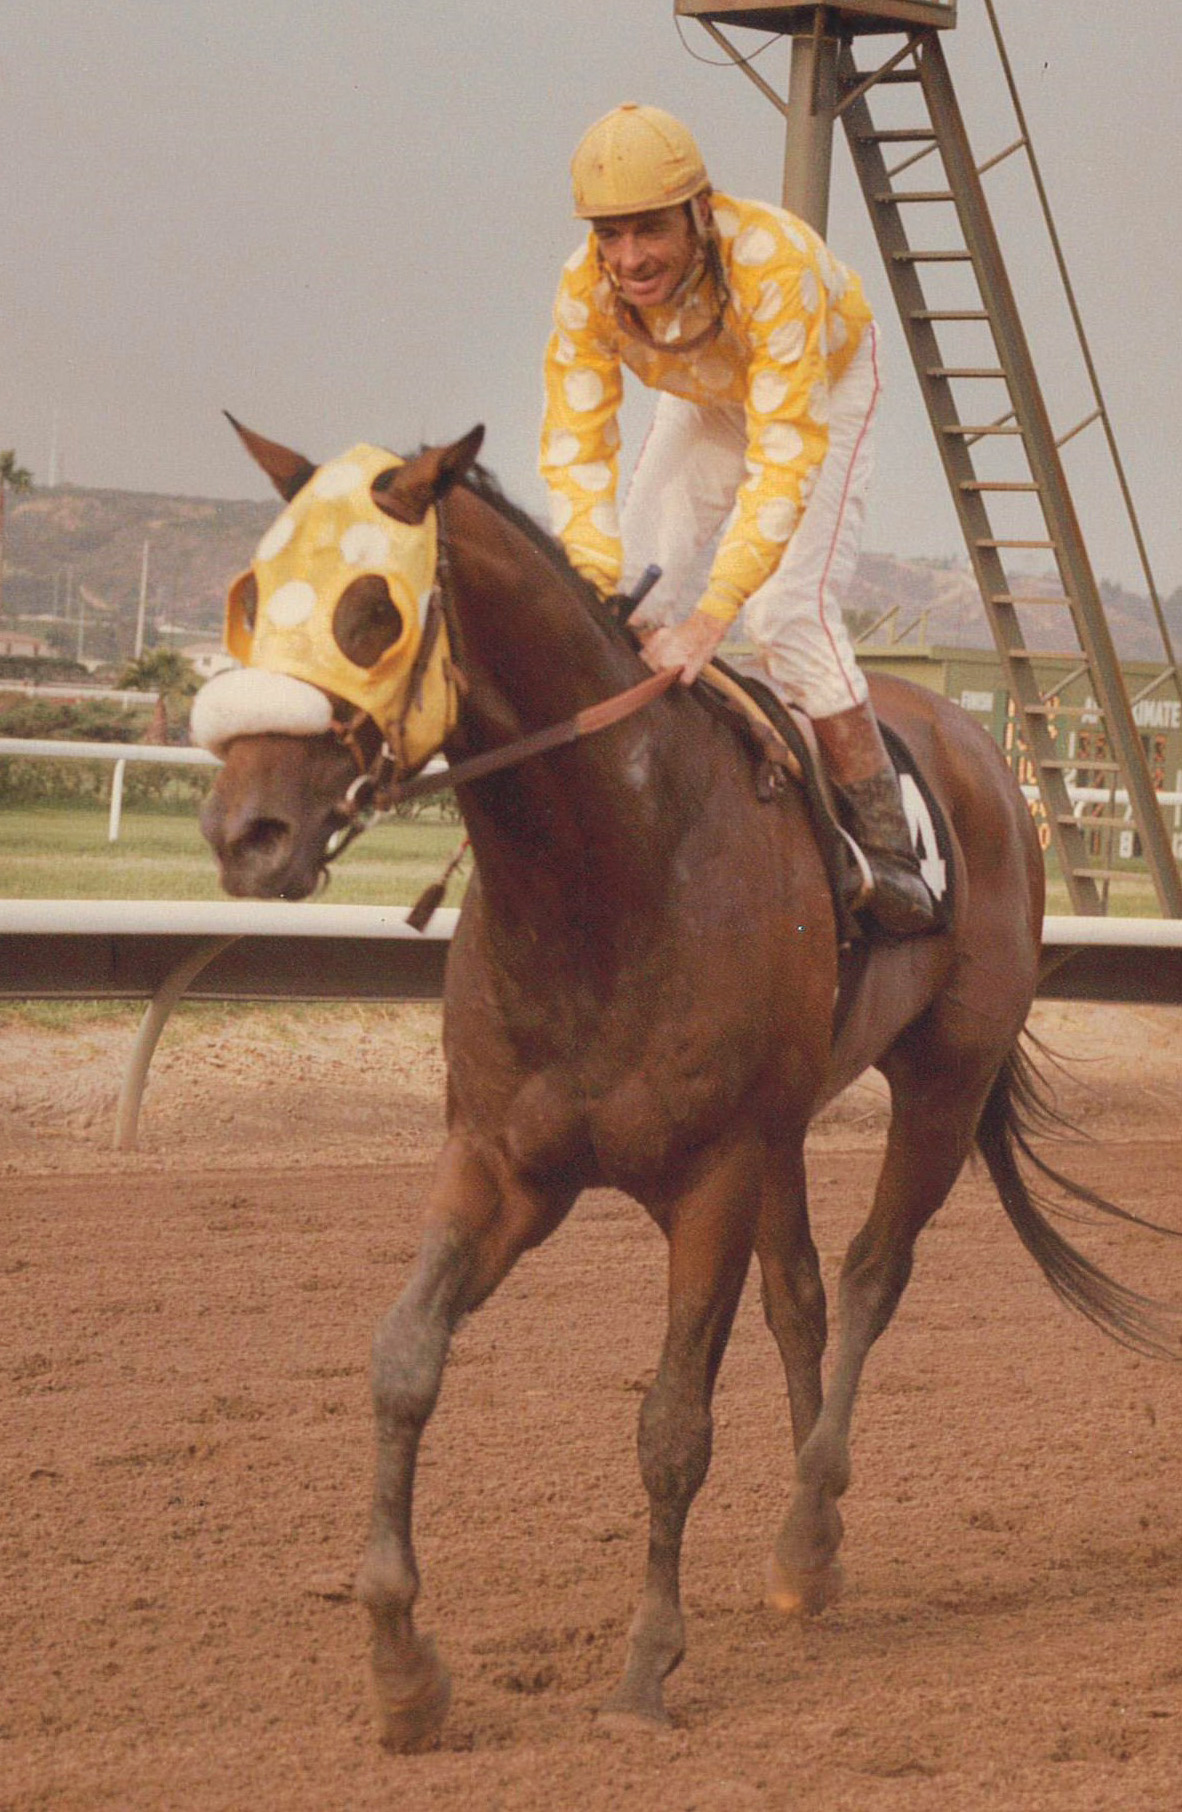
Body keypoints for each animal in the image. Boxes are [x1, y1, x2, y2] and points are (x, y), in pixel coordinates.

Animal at [193, 416, 1174, 1746]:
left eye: (369, 612)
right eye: (250, 597)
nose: (243, 832)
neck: (607, 869)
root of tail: (983, 747)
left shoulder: (711, 1174)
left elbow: (671, 1423)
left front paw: (645, 1668)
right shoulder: (503, 1162)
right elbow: (403, 1359)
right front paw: (401, 1664)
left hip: (943, 1076)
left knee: (871, 1277)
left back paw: (808, 1530)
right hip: (790, 1123)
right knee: (804, 1295)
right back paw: (814, 1546)